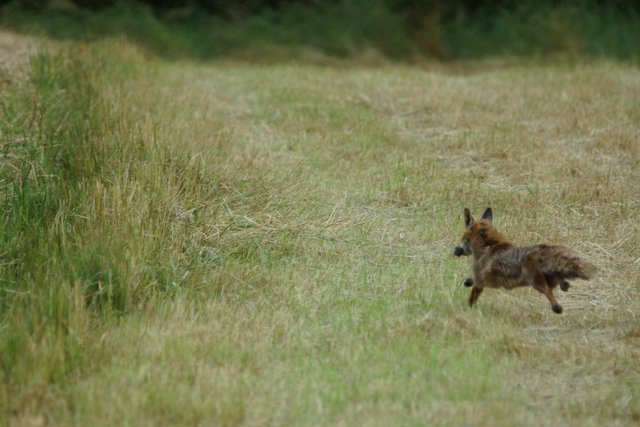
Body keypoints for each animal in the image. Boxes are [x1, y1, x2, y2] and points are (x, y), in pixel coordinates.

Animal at [453, 207, 596, 314]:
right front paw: (467, 282)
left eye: (462, 238)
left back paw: (556, 307)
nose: (456, 250)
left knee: (549, 293)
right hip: (551, 279)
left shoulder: (481, 280)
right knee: (563, 282)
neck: (488, 246)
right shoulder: (485, 279)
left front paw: (467, 310)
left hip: (536, 282)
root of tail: (544, 250)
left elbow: (472, 298)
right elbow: (471, 281)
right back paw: (564, 286)